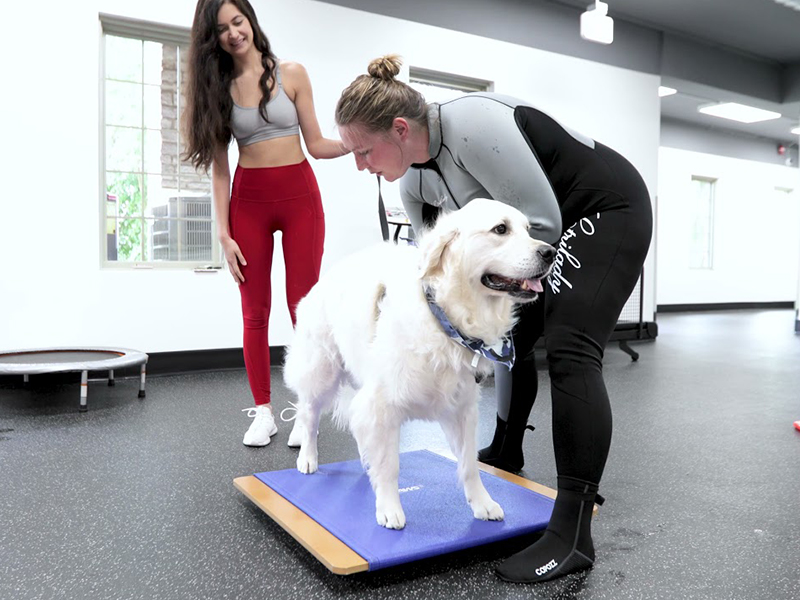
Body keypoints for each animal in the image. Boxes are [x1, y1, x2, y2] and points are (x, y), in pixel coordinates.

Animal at [284, 198, 552, 528]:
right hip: (321, 371)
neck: (446, 318)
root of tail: (328, 274)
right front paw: (389, 507)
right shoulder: (382, 404)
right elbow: (390, 464)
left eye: (529, 229)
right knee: (309, 416)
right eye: (500, 229)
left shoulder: (461, 409)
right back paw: (308, 458)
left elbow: (469, 465)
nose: (550, 252)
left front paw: (482, 503)